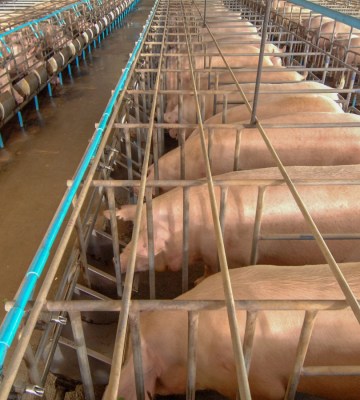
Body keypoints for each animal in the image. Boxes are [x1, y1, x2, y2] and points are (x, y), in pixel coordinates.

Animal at [108, 166, 360, 276]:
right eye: (132, 234)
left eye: (145, 246)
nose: (116, 260)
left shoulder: (229, 257)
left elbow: (212, 271)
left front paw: (198, 282)